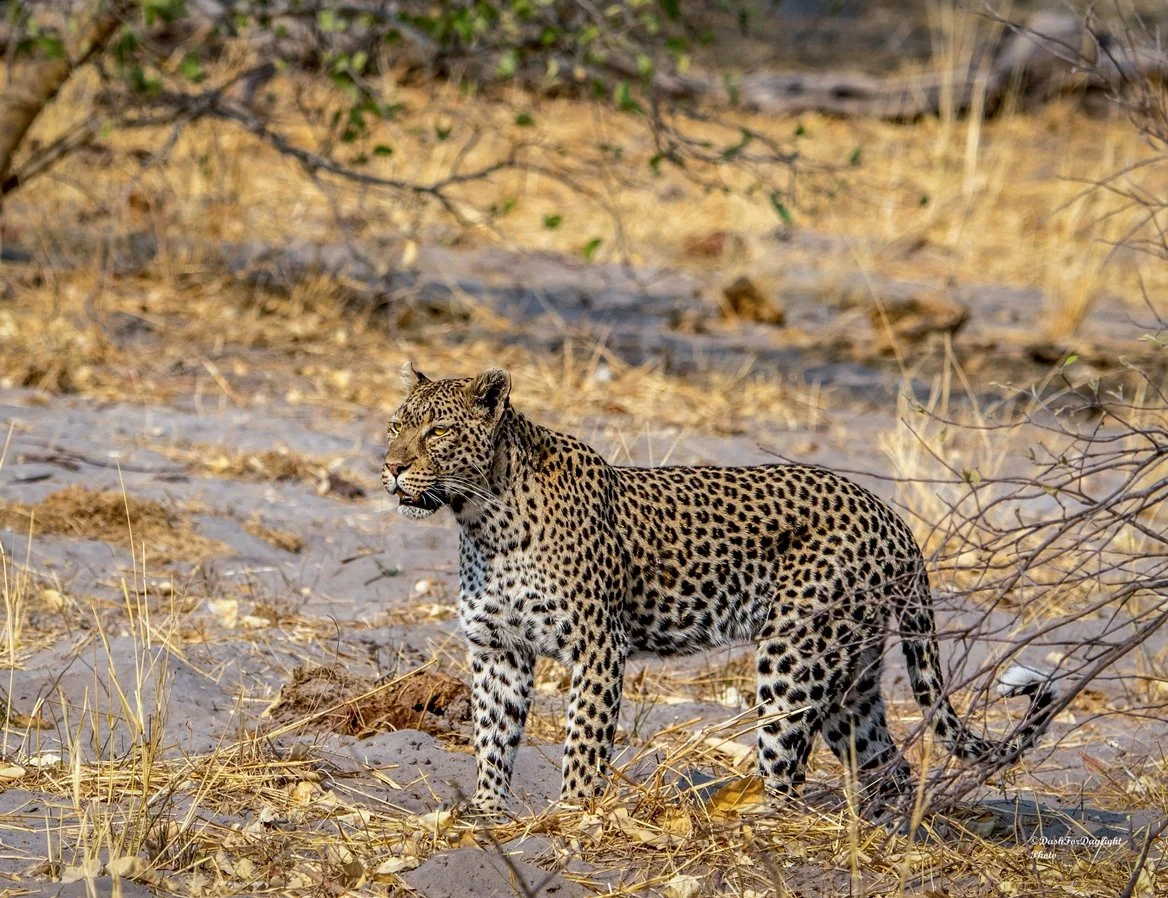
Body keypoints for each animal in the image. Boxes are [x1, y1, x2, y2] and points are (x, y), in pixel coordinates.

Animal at [381, 363, 1058, 817]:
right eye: (394, 426)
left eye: (437, 432)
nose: (389, 467)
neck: (482, 518)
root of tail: (894, 519)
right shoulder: (498, 649)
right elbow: (492, 738)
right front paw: (487, 814)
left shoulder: (598, 648)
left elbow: (584, 743)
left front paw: (573, 818)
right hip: (852, 672)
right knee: (887, 763)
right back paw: (879, 831)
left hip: (793, 653)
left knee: (789, 770)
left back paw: (758, 825)